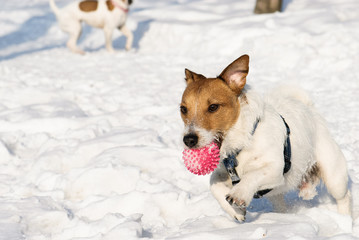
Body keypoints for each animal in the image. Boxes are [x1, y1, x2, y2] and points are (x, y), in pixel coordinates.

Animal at [180, 54, 352, 221]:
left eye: (213, 107)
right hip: (278, 194)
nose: (188, 140)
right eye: (183, 109)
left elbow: (253, 174)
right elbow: (213, 183)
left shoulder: (275, 168)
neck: (243, 140)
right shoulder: (223, 171)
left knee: (343, 196)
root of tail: (309, 109)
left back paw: (344, 218)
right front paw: (235, 211)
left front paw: (239, 194)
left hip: (334, 175)